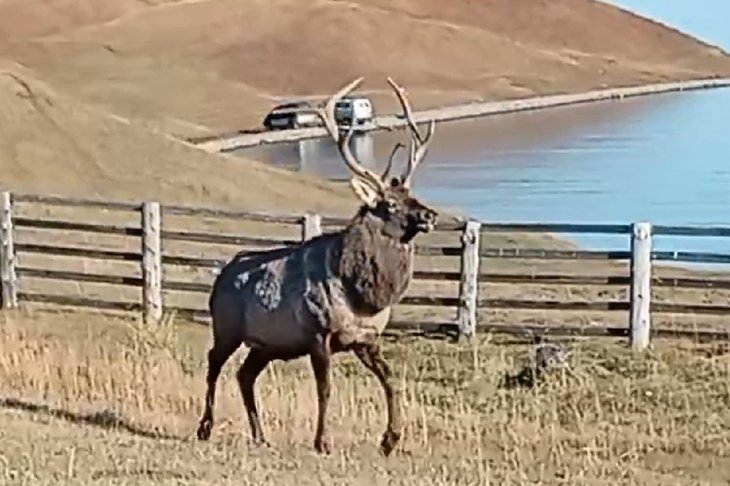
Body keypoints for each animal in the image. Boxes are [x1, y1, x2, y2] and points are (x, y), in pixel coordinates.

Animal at [195, 76, 438, 457]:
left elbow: (391, 380)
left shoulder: (366, 339)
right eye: (389, 204)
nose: (429, 215)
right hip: (227, 327)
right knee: (213, 364)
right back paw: (205, 428)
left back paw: (260, 435)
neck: (362, 296)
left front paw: (390, 440)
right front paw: (323, 441)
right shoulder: (317, 334)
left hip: (266, 344)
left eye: (412, 195)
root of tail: (220, 278)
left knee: (244, 375)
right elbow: (325, 388)